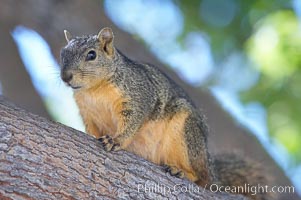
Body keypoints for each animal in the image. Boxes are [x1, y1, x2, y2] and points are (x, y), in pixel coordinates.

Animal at [59, 27, 274, 199]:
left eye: (91, 55)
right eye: (62, 54)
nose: (65, 77)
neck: (93, 90)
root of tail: (213, 172)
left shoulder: (138, 97)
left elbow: (132, 122)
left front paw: (116, 140)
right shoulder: (87, 113)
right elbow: (92, 129)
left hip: (185, 134)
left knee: (202, 179)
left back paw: (182, 172)